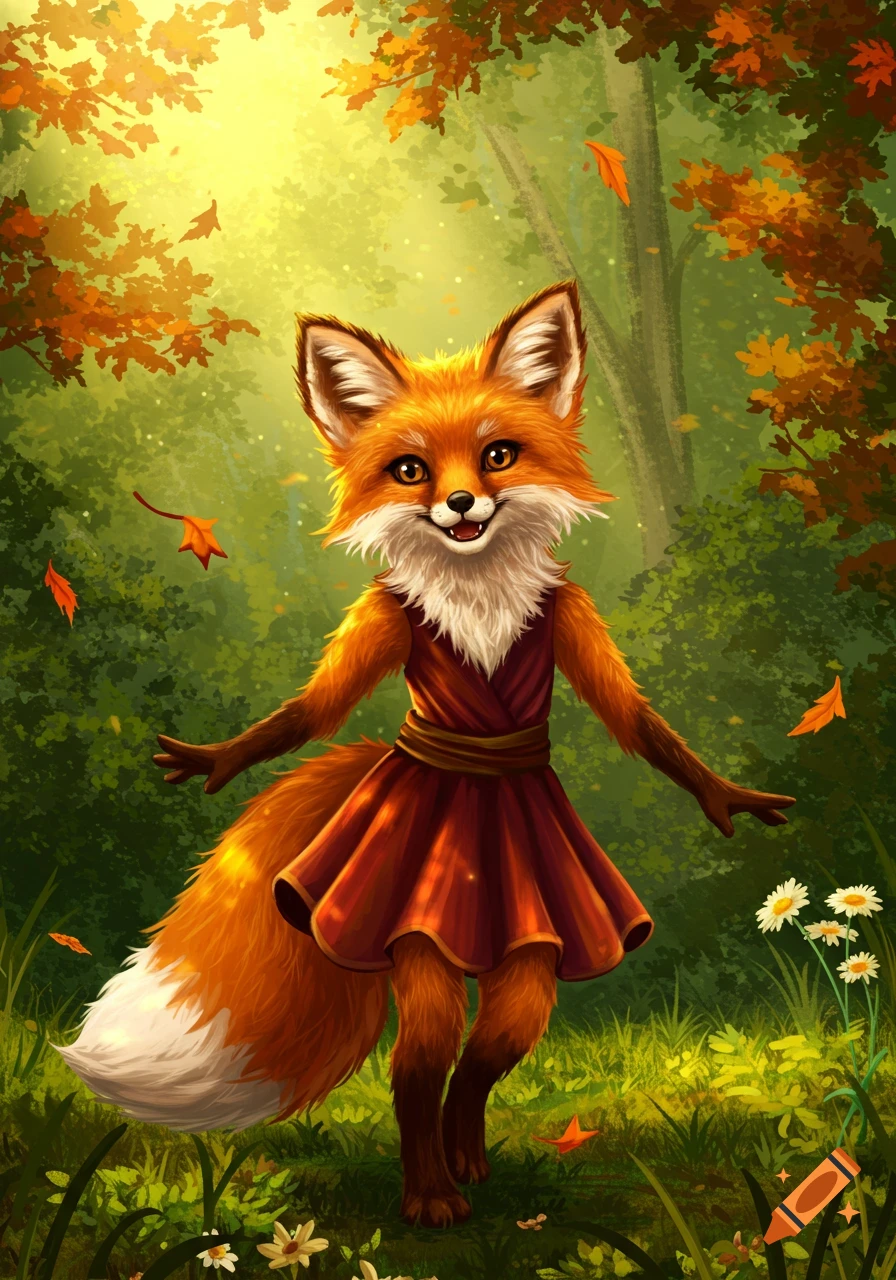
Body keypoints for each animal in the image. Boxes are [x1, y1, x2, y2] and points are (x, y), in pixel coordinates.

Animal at [57, 281, 795, 1228]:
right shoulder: (387, 616)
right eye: (411, 471)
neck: (476, 593)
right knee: (418, 1065)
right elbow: (312, 709)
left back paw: (465, 1159)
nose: (461, 507)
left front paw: (725, 795)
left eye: (498, 456)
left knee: (478, 1056)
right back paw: (430, 1194)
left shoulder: (571, 616)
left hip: (524, 954)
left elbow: (635, 721)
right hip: (415, 939)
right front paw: (216, 758)